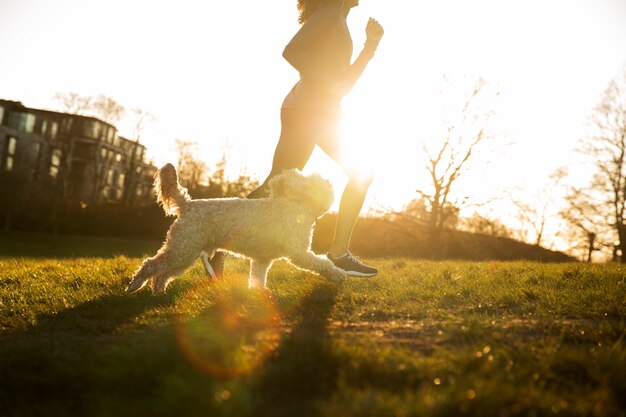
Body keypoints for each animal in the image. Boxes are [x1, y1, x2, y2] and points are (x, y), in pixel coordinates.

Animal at [124, 162, 344, 292]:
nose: (332, 191)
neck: (296, 203)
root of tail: (187, 205)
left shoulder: (262, 260)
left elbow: (258, 278)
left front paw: (260, 296)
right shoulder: (299, 253)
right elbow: (322, 264)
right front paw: (339, 275)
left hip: (185, 252)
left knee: (163, 274)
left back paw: (158, 292)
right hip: (182, 249)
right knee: (151, 264)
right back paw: (134, 285)